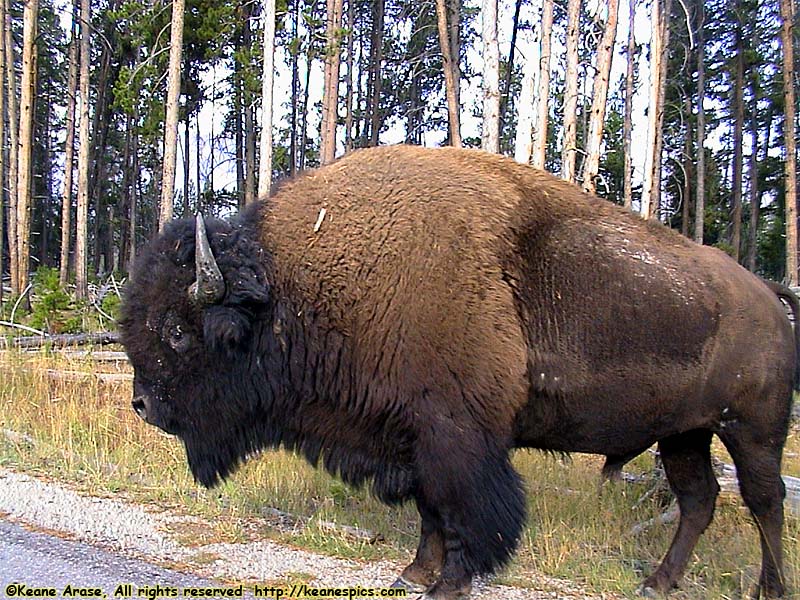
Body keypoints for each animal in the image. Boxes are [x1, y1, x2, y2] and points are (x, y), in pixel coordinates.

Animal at [122, 146, 796, 600]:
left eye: (176, 330)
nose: (142, 405)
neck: (293, 288)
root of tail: (766, 293)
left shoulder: (456, 435)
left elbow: (466, 510)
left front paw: (448, 583)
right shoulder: (411, 434)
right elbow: (430, 511)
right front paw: (412, 573)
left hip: (752, 430)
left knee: (763, 501)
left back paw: (768, 586)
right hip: (685, 433)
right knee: (699, 500)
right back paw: (657, 581)